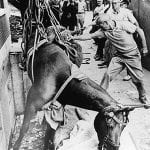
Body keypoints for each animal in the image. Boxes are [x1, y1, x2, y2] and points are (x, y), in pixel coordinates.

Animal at [8, 0, 133, 149]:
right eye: (109, 122)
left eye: (124, 126)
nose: (115, 146)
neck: (63, 78)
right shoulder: (32, 102)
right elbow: (24, 128)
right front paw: (16, 145)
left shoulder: (59, 106)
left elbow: (52, 128)